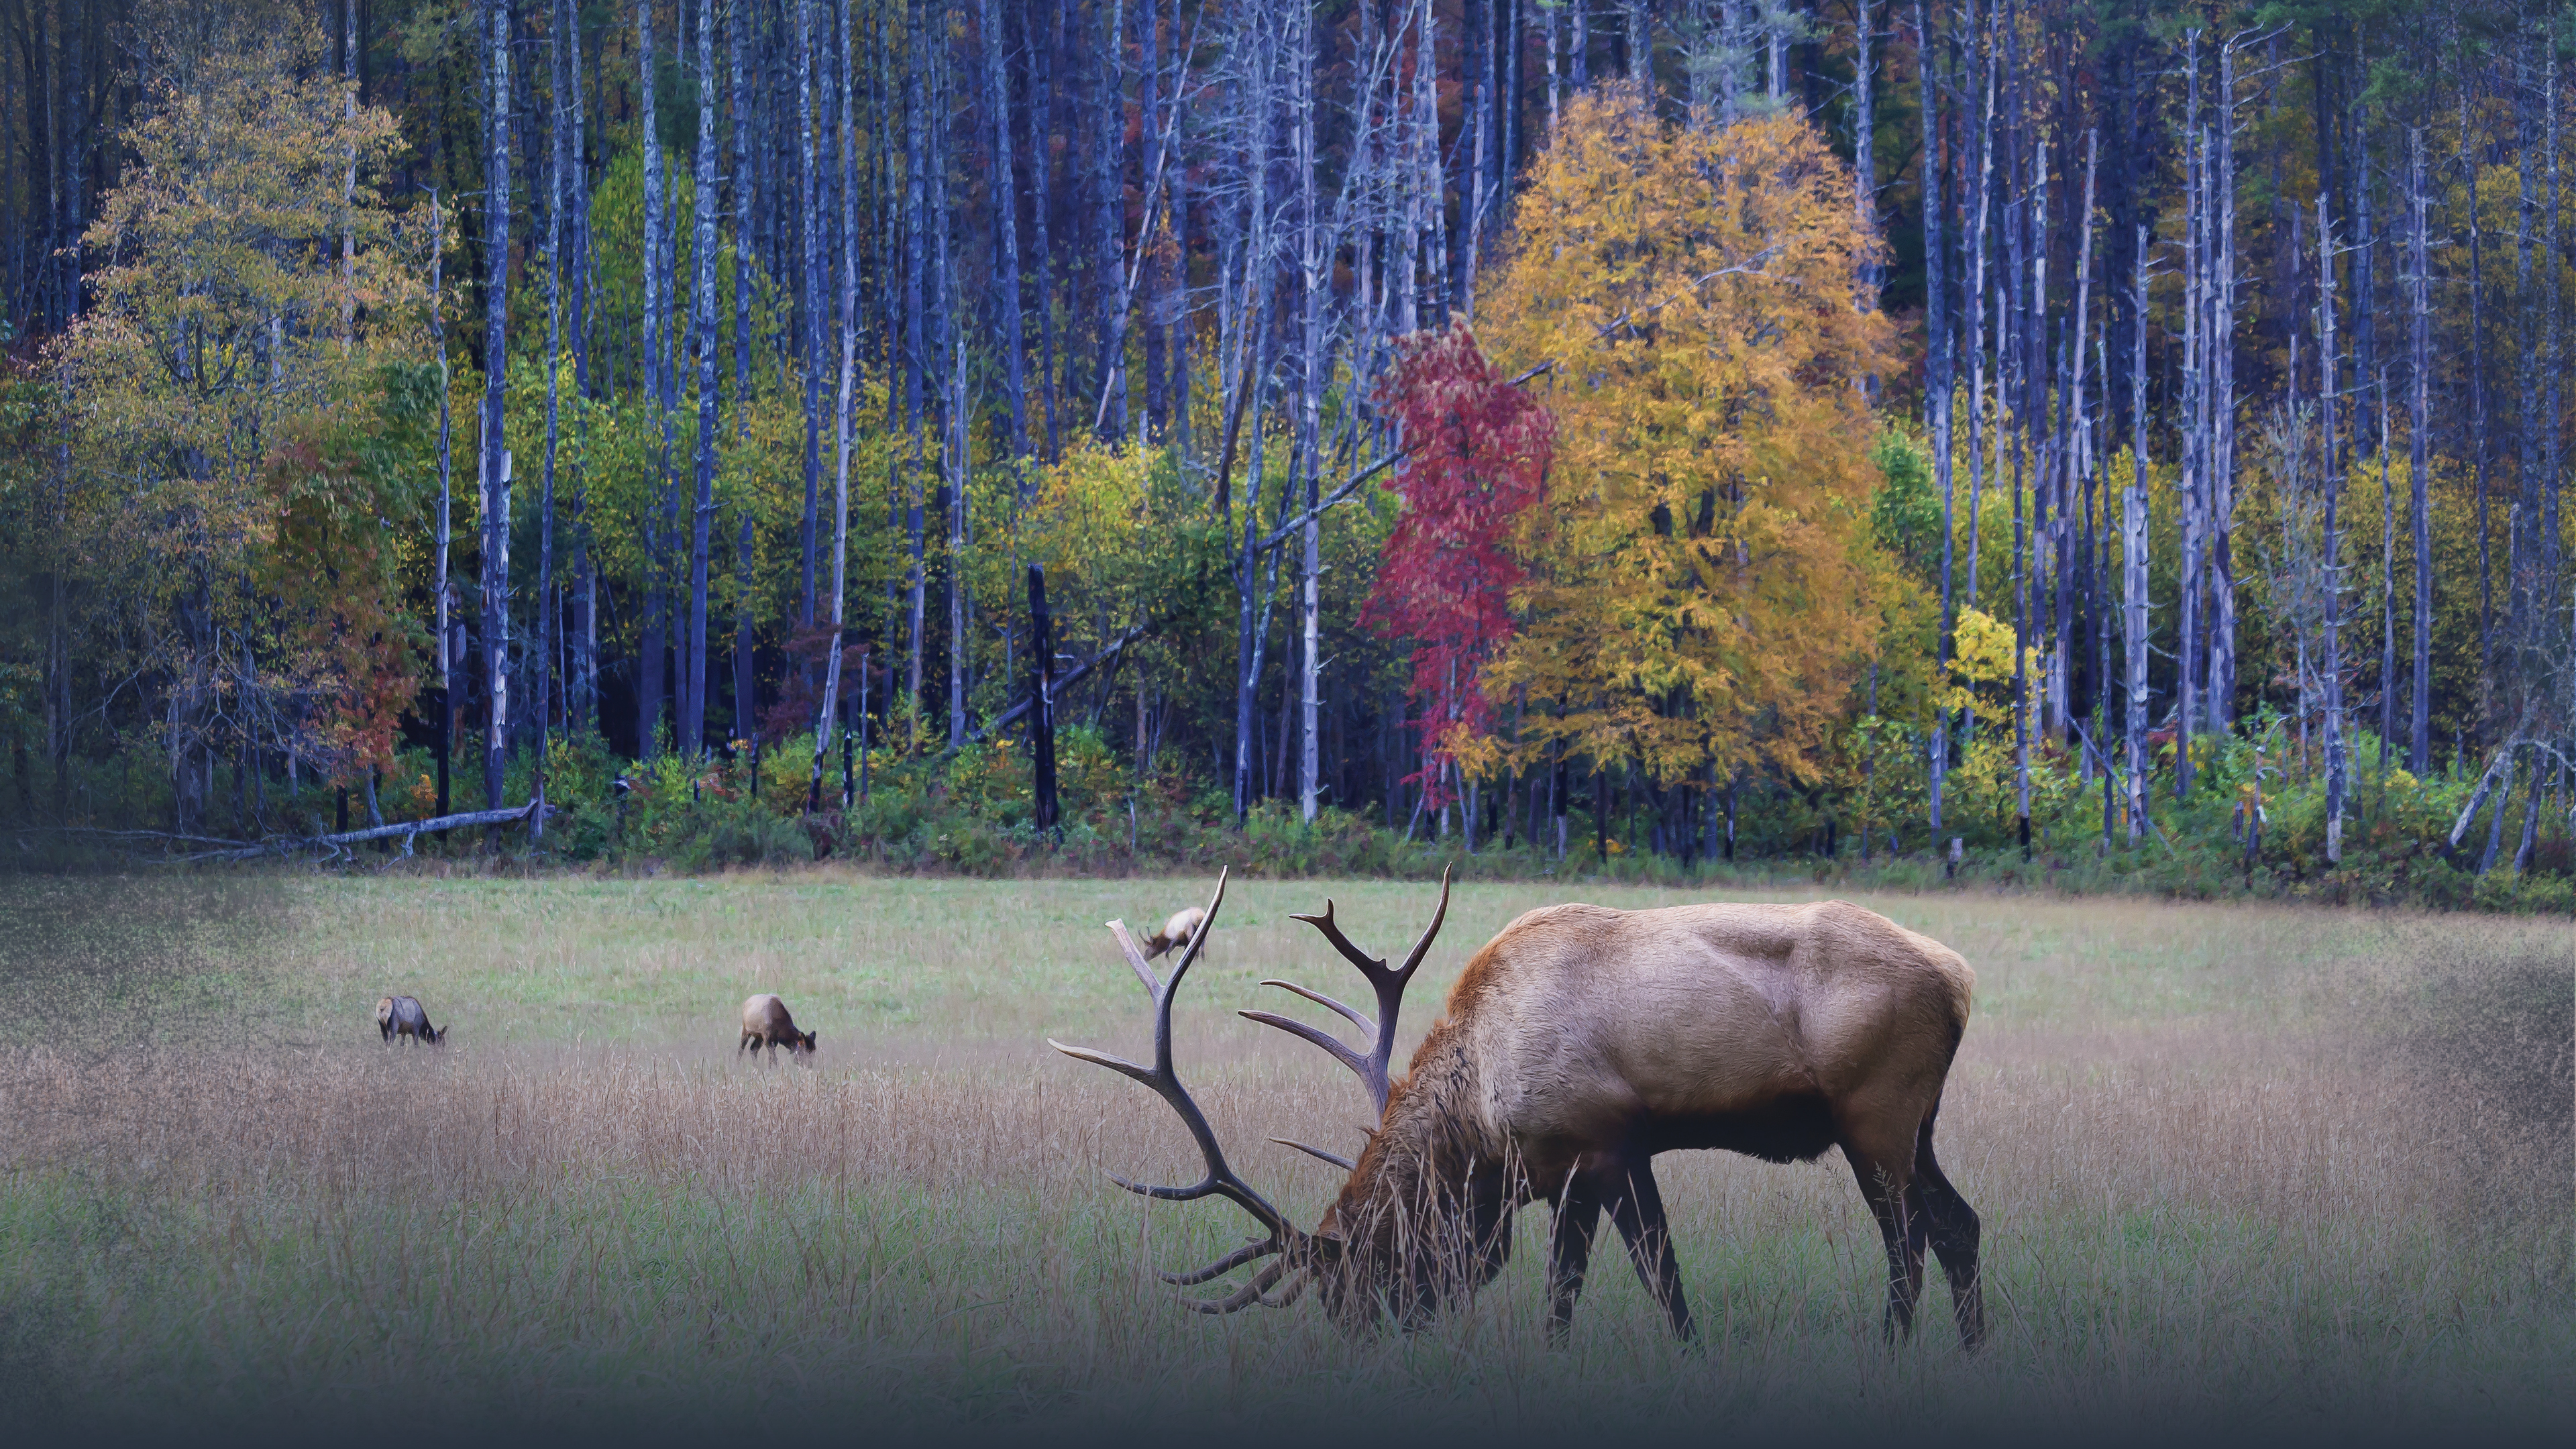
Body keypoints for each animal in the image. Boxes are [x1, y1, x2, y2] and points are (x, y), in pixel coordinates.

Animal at [1052, 870, 1983, 1349]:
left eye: (1359, 1275)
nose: (1365, 1342)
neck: (1483, 1131)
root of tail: (1957, 978)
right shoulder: (1569, 1170)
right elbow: (1573, 1289)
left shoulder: (1606, 1145)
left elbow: (1657, 1281)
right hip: (1922, 1125)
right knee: (1959, 1224)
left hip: (1876, 1115)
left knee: (1908, 1242)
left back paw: (1891, 1350)